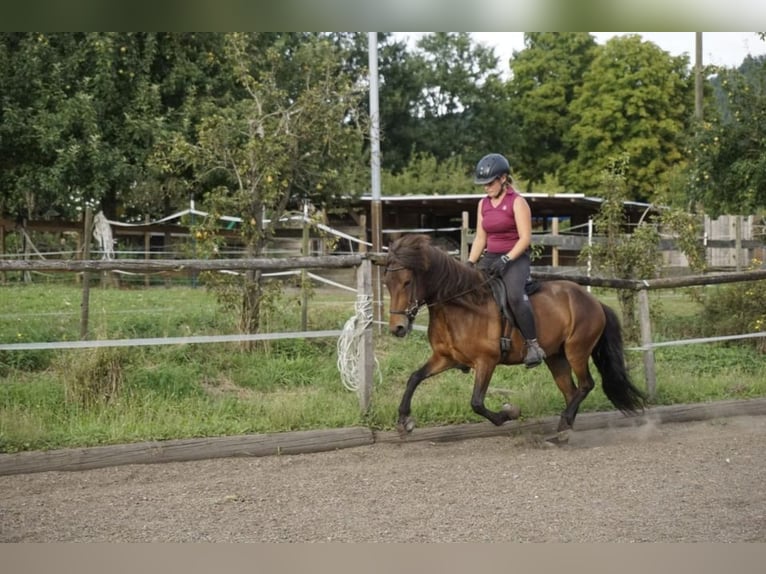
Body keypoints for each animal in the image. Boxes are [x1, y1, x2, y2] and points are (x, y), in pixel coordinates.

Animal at [383, 233, 646, 439]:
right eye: (387, 283)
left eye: (407, 282)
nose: (398, 328)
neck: (460, 306)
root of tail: (594, 301)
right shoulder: (445, 358)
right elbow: (414, 378)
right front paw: (404, 421)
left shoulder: (486, 361)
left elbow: (477, 403)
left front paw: (509, 413)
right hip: (556, 357)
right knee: (571, 391)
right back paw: (565, 428)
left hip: (577, 351)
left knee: (586, 384)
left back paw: (564, 423)